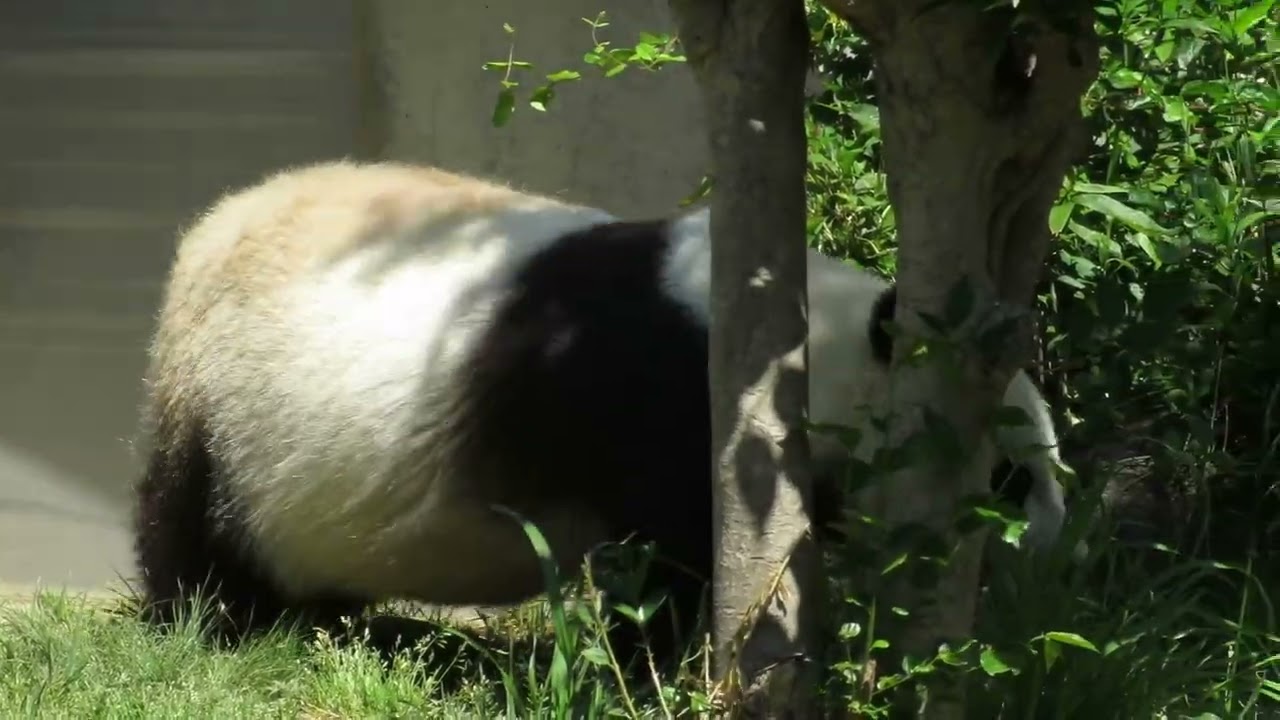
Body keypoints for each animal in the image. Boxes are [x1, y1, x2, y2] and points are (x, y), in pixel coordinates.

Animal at [132, 159, 1068, 670]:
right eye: (1013, 477)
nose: (1057, 553)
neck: (800, 346)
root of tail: (219, 219)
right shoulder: (662, 397)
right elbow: (668, 559)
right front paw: (654, 663)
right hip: (225, 396)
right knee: (192, 523)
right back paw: (213, 622)